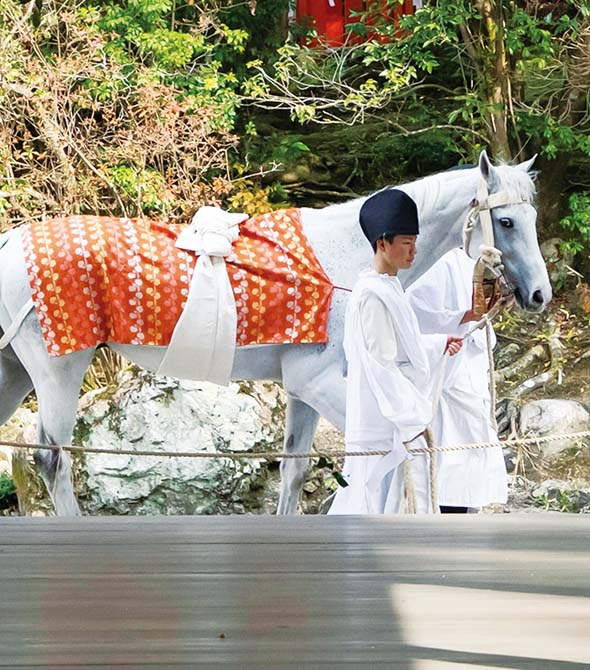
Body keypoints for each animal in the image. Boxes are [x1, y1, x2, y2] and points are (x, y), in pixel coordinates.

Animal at [0, 150, 551, 516]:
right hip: (58, 369)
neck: (348, 258)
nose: (540, 294)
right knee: (51, 459)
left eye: (533, 216)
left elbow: (294, 469)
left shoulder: (303, 388)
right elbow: (398, 448)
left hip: (14, 373)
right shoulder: (318, 381)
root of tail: (10, 242)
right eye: (505, 221)